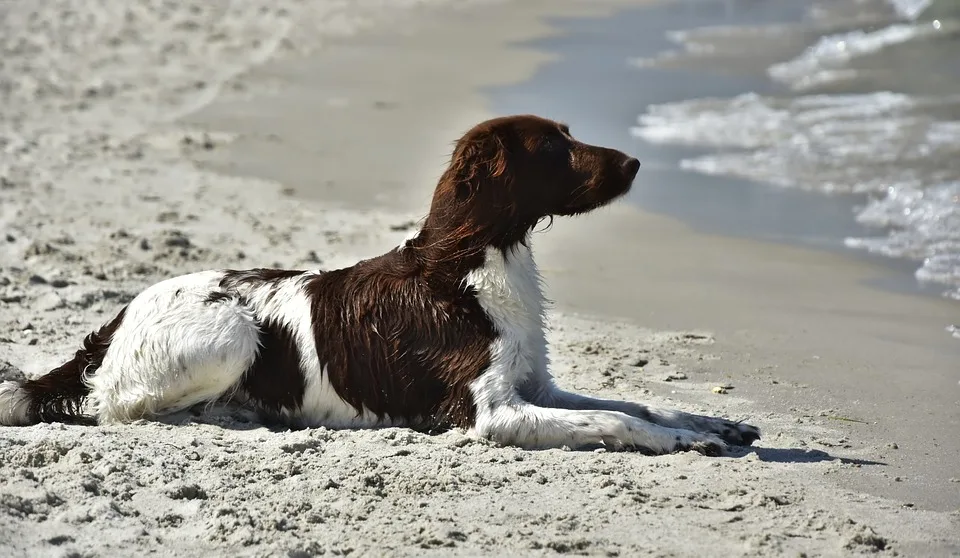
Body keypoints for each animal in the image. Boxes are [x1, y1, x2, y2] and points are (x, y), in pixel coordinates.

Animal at [1, 116, 764, 458]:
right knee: (116, 409)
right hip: (231, 329)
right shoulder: (492, 414)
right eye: (553, 147)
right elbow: (620, 420)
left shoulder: (535, 387)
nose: (635, 161)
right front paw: (684, 442)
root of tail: (112, 323)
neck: (469, 266)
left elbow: (635, 402)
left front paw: (711, 424)